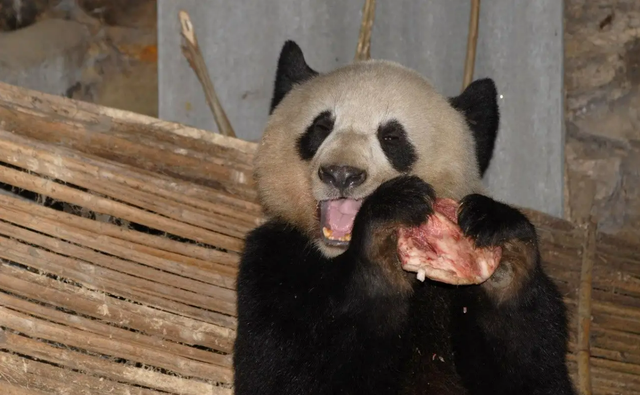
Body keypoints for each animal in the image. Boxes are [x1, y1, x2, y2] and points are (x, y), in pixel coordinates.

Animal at [232, 41, 576, 395]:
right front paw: (383, 239)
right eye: (321, 127)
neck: (337, 257)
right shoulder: (272, 264)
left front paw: (500, 245)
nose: (341, 174)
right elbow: (284, 372)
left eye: (391, 137)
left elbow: (535, 371)